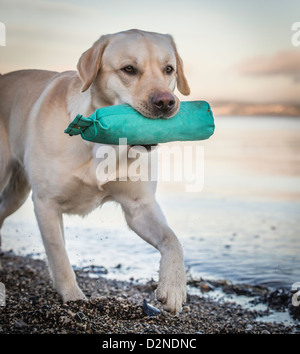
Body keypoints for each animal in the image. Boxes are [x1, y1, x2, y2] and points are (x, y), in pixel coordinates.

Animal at [0, 29, 190, 314]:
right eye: (129, 69)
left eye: (169, 69)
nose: (166, 102)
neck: (104, 140)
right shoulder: (46, 203)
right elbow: (59, 256)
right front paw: (73, 297)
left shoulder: (139, 207)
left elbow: (172, 240)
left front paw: (174, 287)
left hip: (16, 194)